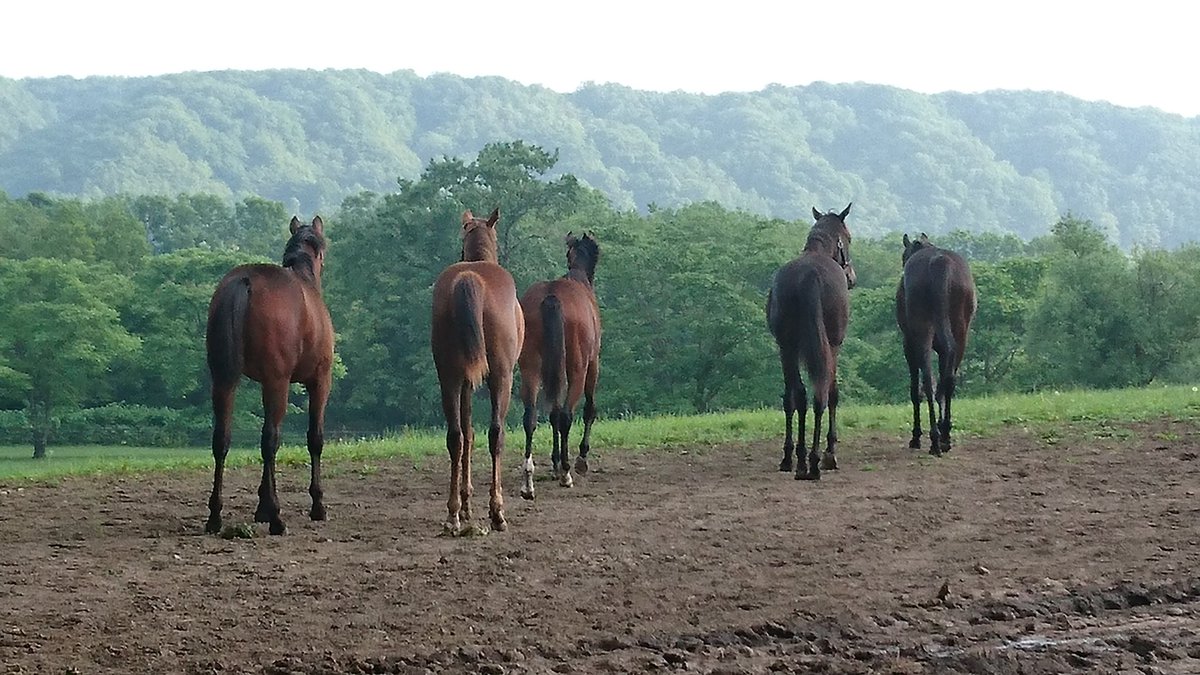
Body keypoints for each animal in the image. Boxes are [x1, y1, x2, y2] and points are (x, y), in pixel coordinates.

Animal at [205, 215, 334, 536]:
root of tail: (245, 280)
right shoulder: (320, 381)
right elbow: (314, 438)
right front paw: (317, 505)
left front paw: (261, 505)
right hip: (278, 384)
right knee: (270, 440)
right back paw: (277, 518)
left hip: (223, 381)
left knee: (221, 439)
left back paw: (215, 516)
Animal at [430, 208, 525, 533]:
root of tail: (471, 277)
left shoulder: (464, 382)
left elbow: (468, 433)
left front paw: (465, 505)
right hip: (501, 377)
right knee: (496, 434)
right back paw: (497, 512)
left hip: (448, 376)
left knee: (456, 436)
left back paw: (452, 515)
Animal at [517, 232, 602, 500]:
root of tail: (552, 296)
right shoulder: (593, 364)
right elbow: (588, 408)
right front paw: (580, 459)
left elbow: (552, 413)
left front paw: (554, 463)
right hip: (577, 368)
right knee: (566, 415)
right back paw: (566, 472)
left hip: (530, 369)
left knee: (531, 417)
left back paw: (528, 479)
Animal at [766, 204, 857, 480]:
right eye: (849, 238)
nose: (852, 277)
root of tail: (810, 277)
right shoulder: (835, 345)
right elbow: (832, 394)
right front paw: (828, 452)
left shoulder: (786, 347)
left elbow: (792, 398)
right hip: (827, 345)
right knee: (820, 395)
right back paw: (815, 460)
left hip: (789, 348)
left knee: (801, 395)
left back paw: (802, 461)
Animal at [895, 233, 977, 455]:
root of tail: (940, 263)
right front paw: (942, 428)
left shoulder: (908, 344)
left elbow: (916, 389)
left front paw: (916, 436)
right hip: (961, 333)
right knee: (949, 379)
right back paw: (945, 436)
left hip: (921, 334)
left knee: (927, 380)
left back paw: (933, 440)